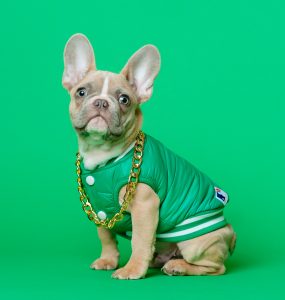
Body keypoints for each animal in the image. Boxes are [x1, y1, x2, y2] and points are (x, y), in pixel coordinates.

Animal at [61, 34, 235, 280]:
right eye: (81, 92)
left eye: (124, 99)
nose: (102, 102)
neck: (103, 157)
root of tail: (230, 233)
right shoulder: (99, 210)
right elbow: (105, 237)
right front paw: (108, 260)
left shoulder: (145, 206)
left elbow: (140, 241)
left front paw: (132, 269)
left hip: (196, 242)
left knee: (215, 268)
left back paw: (178, 267)